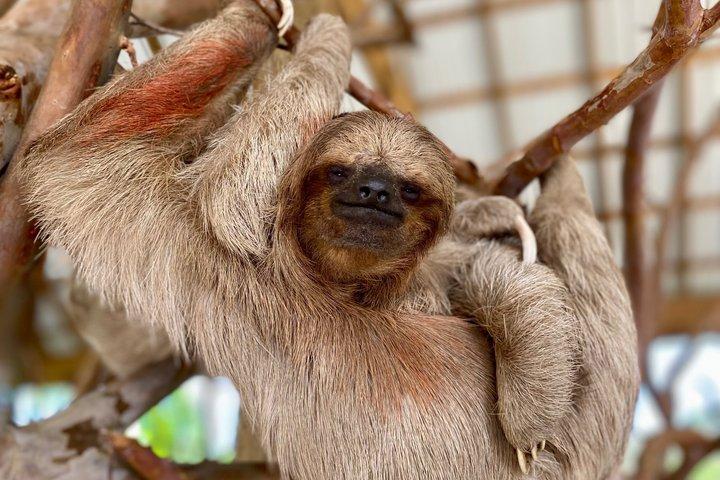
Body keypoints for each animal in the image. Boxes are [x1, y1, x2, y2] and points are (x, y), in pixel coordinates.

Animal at [18, 0, 639, 478]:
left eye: (408, 188)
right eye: (340, 171)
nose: (374, 191)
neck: (343, 289)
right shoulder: (198, 249)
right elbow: (84, 162)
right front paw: (290, 20)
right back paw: (556, 177)